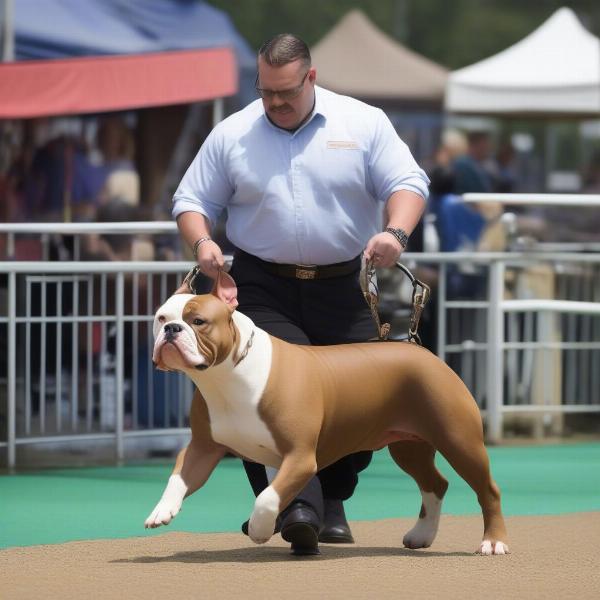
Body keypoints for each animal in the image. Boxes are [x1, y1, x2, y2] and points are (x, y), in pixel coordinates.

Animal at [145, 272, 506, 552]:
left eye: (198, 322)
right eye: (161, 318)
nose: (172, 330)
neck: (224, 375)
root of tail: (422, 350)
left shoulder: (301, 456)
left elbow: (266, 498)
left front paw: (261, 529)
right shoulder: (204, 448)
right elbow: (180, 476)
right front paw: (162, 509)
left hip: (458, 439)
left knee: (487, 489)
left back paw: (493, 542)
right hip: (408, 446)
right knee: (436, 483)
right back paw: (421, 535)